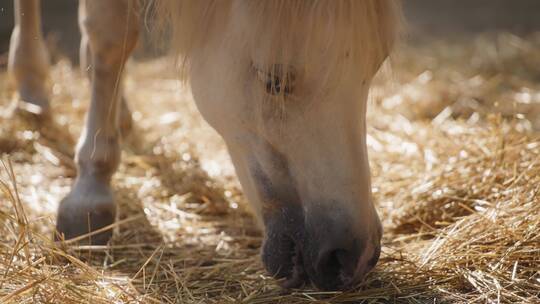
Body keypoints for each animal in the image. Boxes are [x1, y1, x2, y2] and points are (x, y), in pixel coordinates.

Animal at [6, 0, 398, 290]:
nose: (354, 257)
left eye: (376, 65)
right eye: (274, 80)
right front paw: (91, 193)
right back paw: (31, 84)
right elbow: (111, 34)